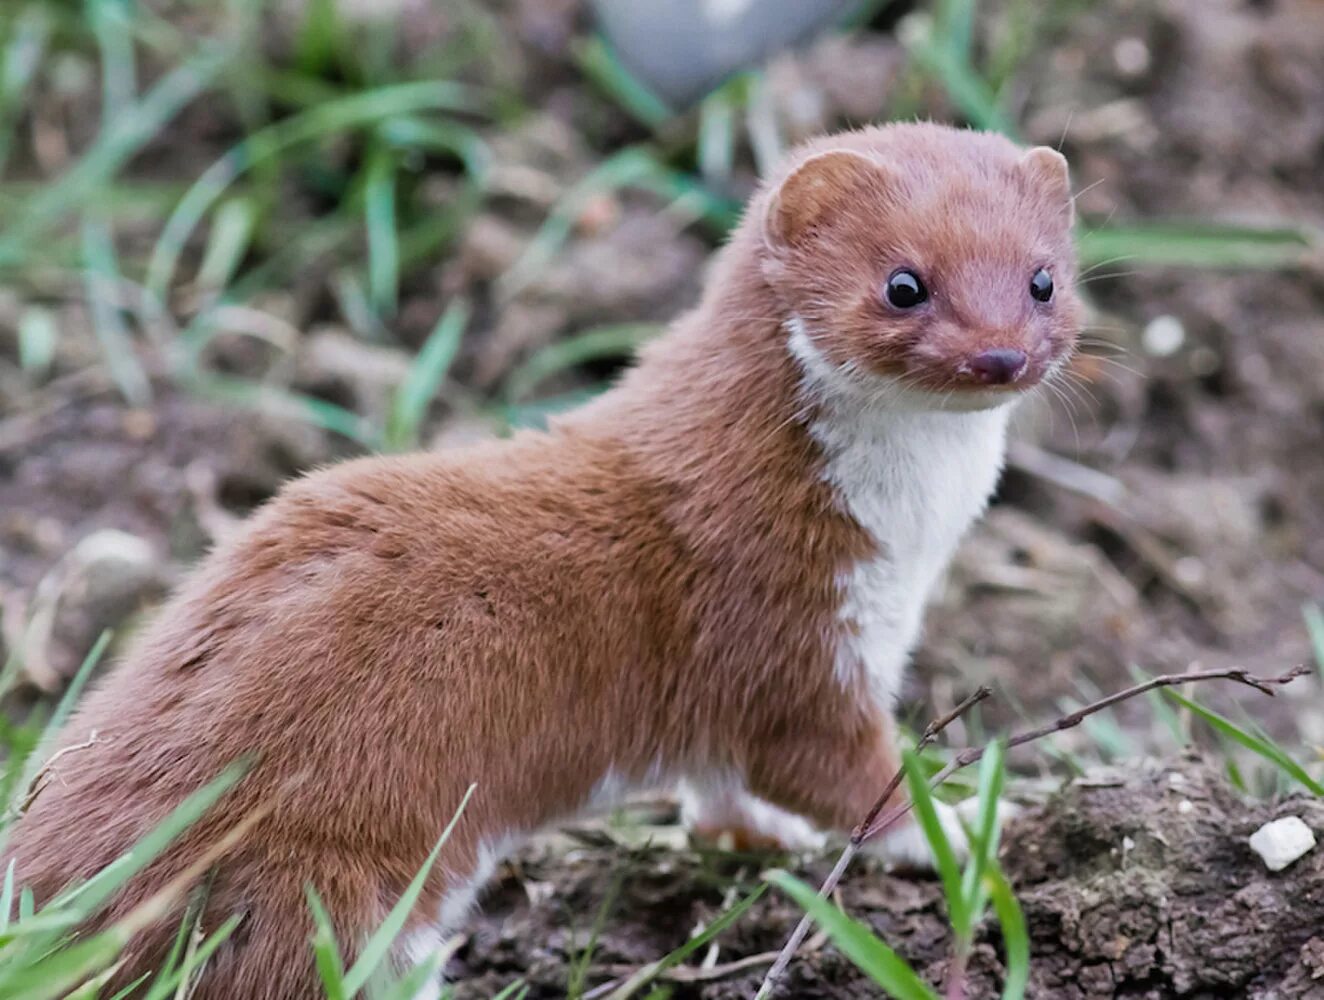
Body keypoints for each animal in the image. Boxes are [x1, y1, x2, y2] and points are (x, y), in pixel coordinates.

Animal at [5, 121, 1080, 996]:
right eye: (903, 284)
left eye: (1044, 279)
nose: (1000, 356)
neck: (910, 547)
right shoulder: (786, 625)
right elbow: (838, 769)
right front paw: (967, 830)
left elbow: (726, 784)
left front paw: (754, 835)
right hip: (319, 894)